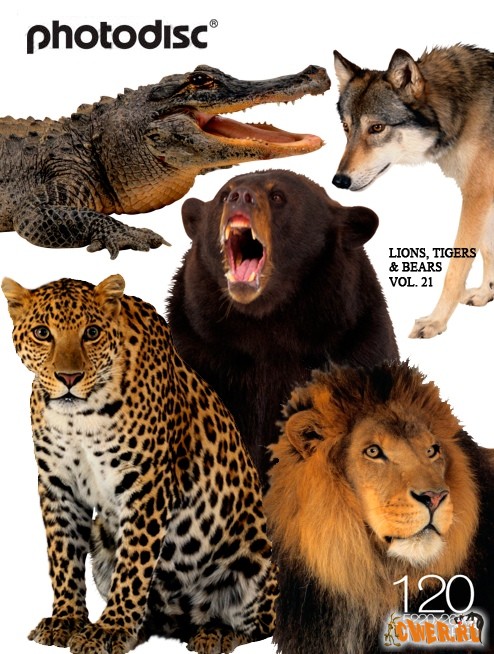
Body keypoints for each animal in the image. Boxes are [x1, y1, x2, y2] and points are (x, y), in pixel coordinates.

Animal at [167, 169, 398, 482]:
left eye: (277, 196)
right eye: (223, 194)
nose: (240, 195)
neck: (267, 323)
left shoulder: (358, 344)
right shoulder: (198, 350)